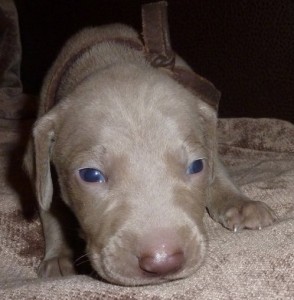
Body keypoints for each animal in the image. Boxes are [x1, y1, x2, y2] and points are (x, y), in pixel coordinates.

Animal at [24, 24, 274, 286]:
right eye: (91, 175)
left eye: (196, 166)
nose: (163, 262)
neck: (108, 56)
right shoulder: (37, 153)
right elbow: (48, 208)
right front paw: (58, 256)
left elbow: (218, 170)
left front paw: (239, 202)